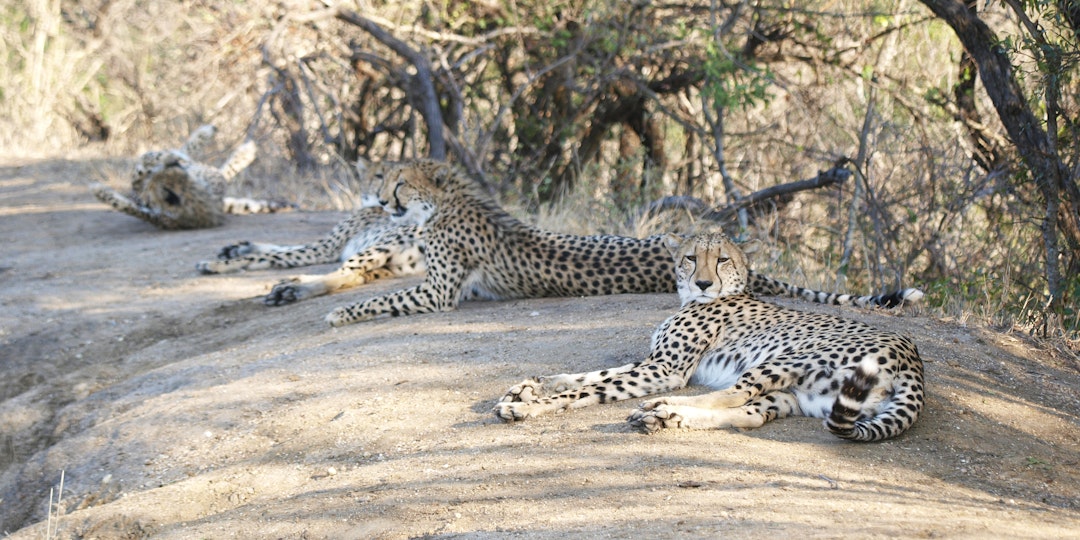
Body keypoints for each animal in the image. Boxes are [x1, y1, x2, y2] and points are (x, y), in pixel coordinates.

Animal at [287, 157, 920, 326]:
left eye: (398, 179)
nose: (380, 197)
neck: (441, 204)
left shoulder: (439, 292)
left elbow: (377, 296)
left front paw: (338, 313)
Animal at [494, 232, 924, 442]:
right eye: (690, 257)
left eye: (722, 259)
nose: (702, 282)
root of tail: (911, 353)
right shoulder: (655, 360)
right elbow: (592, 374)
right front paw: (529, 387)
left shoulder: (667, 370)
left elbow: (591, 387)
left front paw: (527, 406)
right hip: (799, 396)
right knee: (750, 414)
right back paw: (667, 417)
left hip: (784, 359)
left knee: (733, 392)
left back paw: (662, 407)